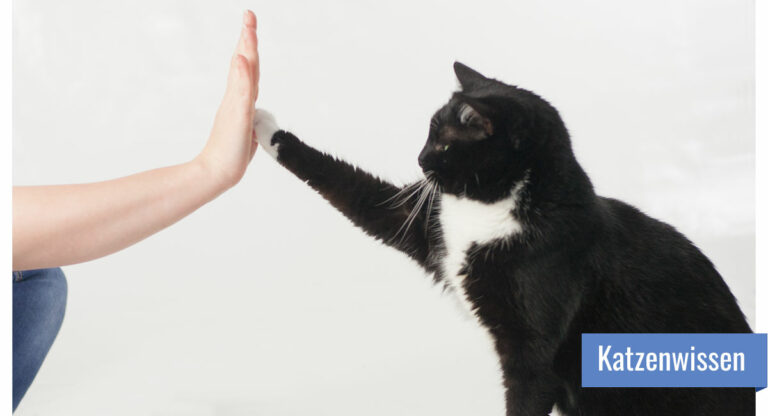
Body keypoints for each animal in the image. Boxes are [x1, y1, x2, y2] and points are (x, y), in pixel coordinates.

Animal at [254, 62, 756, 416]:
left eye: (443, 144)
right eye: (427, 136)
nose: (418, 159)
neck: (490, 213)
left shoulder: (533, 352)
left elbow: (527, 389)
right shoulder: (427, 222)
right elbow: (357, 192)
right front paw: (264, 126)